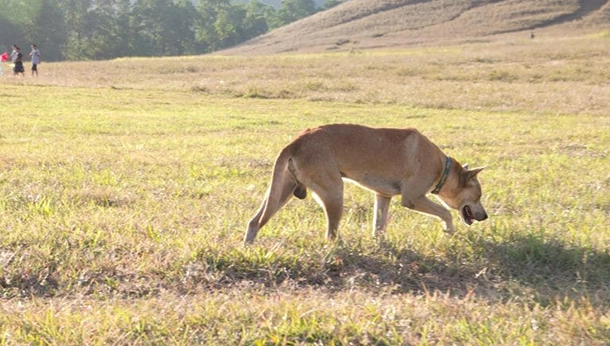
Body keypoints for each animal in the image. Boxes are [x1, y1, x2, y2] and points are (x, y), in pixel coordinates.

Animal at [245, 123, 486, 243]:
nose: (485, 216)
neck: (442, 167)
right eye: (478, 196)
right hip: (334, 193)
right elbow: (445, 213)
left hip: (280, 192)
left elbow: (379, 225)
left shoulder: (383, 196)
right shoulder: (412, 198)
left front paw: (379, 244)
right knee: (330, 235)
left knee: (254, 222)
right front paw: (449, 232)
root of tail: (296, 142)